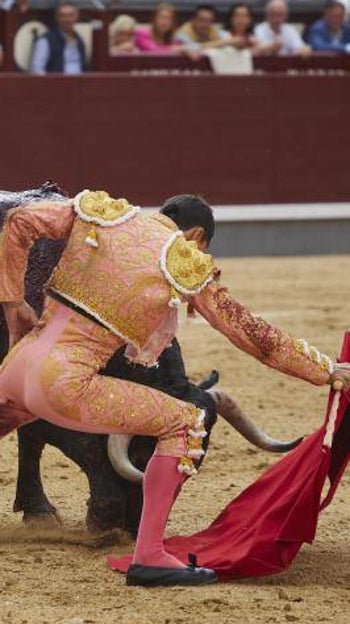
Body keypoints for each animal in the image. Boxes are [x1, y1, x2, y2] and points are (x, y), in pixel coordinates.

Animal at [0, 183, 217, 532]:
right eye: (142, 457)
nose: (135, 527)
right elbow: (82, 443)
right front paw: (102, 516)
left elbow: (32, 439)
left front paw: (38, 511)